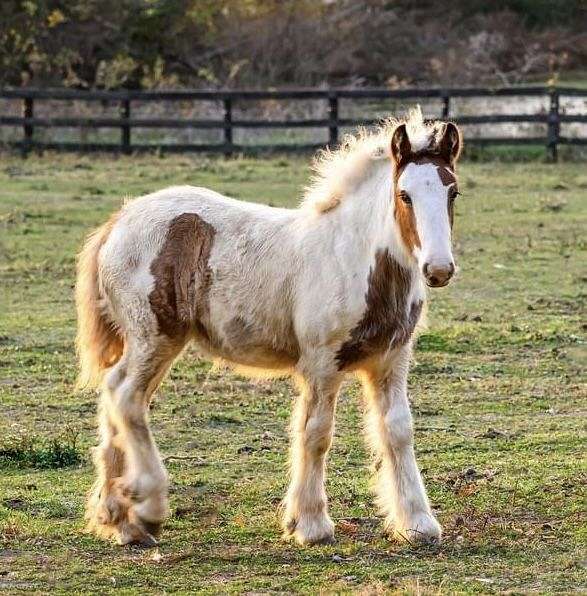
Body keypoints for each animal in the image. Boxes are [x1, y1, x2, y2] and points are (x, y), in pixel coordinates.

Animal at [77, 109, 464, 548]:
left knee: (115, 391)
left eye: (452, 192)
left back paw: (118, 518)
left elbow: (397, 431)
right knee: (126, 396)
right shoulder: (321, 363)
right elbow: (316, 433)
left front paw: (417, 523)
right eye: (405, 195)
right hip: (154, 337)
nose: (438, 269)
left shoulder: (391, 362)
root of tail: (117, 221)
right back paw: (148, 507)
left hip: (147, 343)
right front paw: (310, 524)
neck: (353, 258)